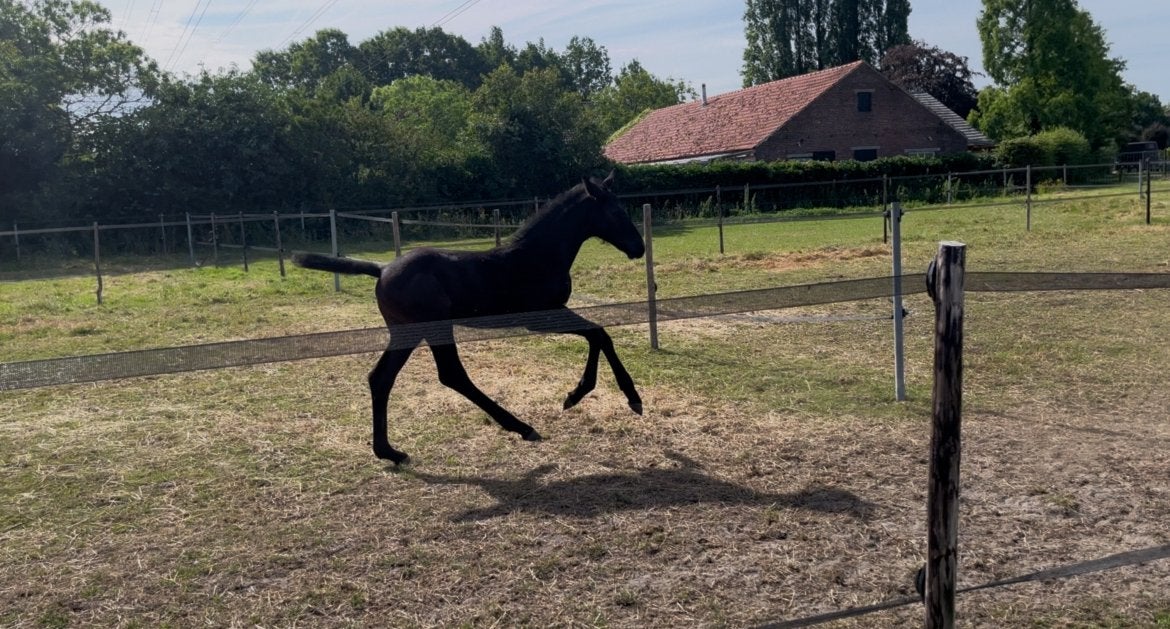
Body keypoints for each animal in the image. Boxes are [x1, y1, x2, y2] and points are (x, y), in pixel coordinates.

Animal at [292, 172, 646, 465]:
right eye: (616, 213)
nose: (639, 248)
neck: (538, 256)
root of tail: (382, 268)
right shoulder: (542, 316)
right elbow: (599, 333)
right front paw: (608, 397)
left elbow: (599, 335)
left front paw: (586, 395)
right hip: (433, 328)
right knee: (451, 374)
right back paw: (521, 426)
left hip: (407, 332)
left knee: (381, 378)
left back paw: (390, 452)